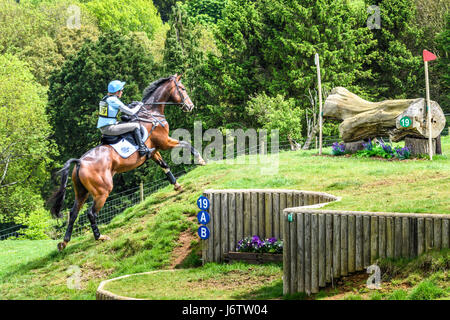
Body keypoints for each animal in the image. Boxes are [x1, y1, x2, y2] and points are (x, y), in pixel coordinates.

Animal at [49, 74, 206, 251]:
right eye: (183, 88)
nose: (190, 106)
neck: (150, 114)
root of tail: (80, 162)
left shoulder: (153, 151)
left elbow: (164, 166)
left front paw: (177, 186)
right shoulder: (164, 142)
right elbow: (186, 144)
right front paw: (200, 160)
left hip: (81, 192)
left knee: (73, 213)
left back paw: (64, 242)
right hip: (102, 191)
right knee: (91, 213)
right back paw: (100, 237)